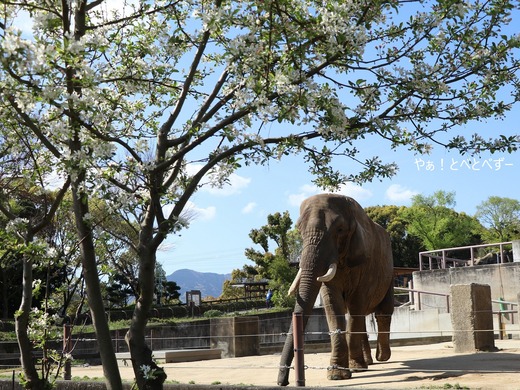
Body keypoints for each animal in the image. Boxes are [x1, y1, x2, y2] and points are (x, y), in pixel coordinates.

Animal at [278, 193, 392, 386]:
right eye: (299, 230)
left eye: (339, 229)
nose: (283, 382)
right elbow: (333, 306)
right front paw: (337, 375)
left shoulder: (366, 263)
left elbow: (356, 304)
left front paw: (353, 369)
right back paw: (367, 363)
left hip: (390, 272)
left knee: (382, 312)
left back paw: (381, 358)